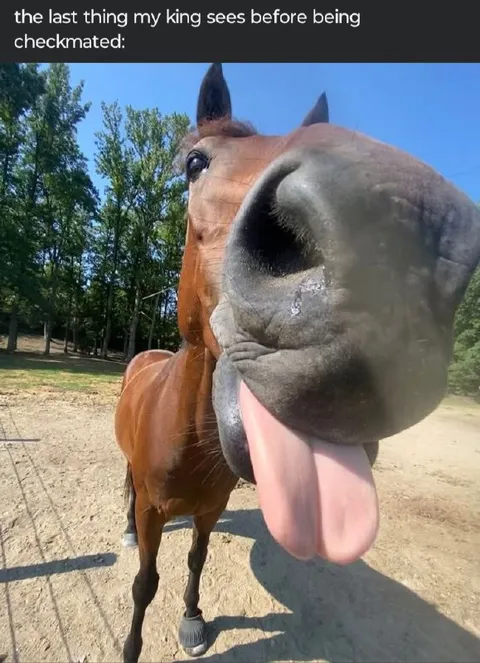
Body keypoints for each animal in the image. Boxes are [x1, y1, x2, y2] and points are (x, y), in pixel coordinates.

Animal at [115, 63, 480, 663]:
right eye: (195, 163)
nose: (398, 247)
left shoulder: (209, 510)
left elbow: (195, 561)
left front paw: (192, 621)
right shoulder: (152, 510)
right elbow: (145, 584)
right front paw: (132, 645)